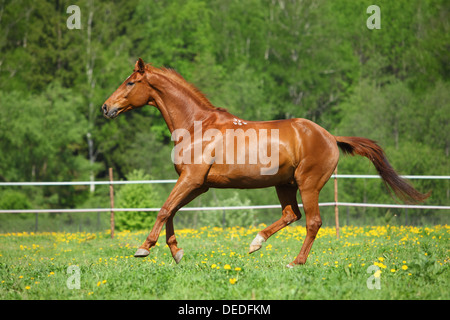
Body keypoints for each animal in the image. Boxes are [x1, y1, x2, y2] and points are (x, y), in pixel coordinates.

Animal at [102, 58, 428, 268]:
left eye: (130, 82)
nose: (106, 108)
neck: (197, 126)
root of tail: (329, 136)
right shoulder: (197, 185)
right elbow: (171, 211)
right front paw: (177, 253)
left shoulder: (191, 180)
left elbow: (164, 209)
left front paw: (143, 249)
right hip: (285, 184)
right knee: (290, 214)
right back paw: (256, 242)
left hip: (308, 184)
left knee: (312, 222)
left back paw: (295, 262)